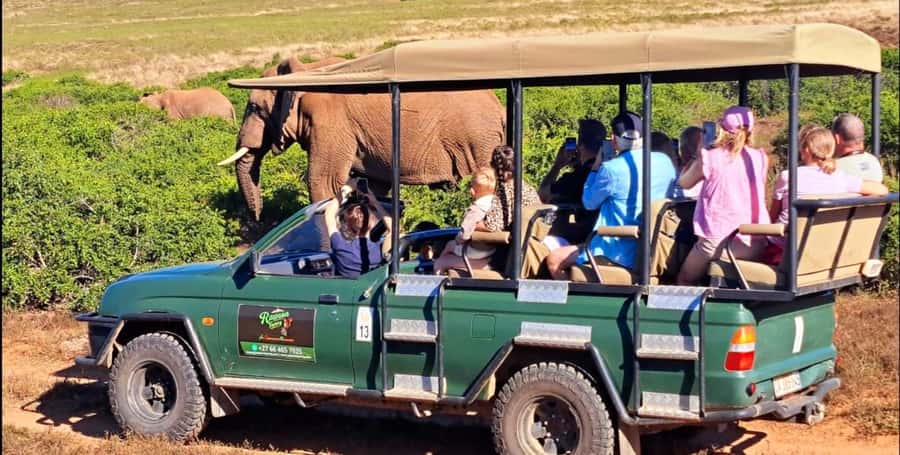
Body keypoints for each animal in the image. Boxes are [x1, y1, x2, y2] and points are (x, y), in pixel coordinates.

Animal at [218, 57, 506, 221]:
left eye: (254, 108)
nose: (257, 218)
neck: (304, 72)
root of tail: (500, 108)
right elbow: (374, 185)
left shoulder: (331, 121)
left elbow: (323, 179)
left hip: (476, 140)